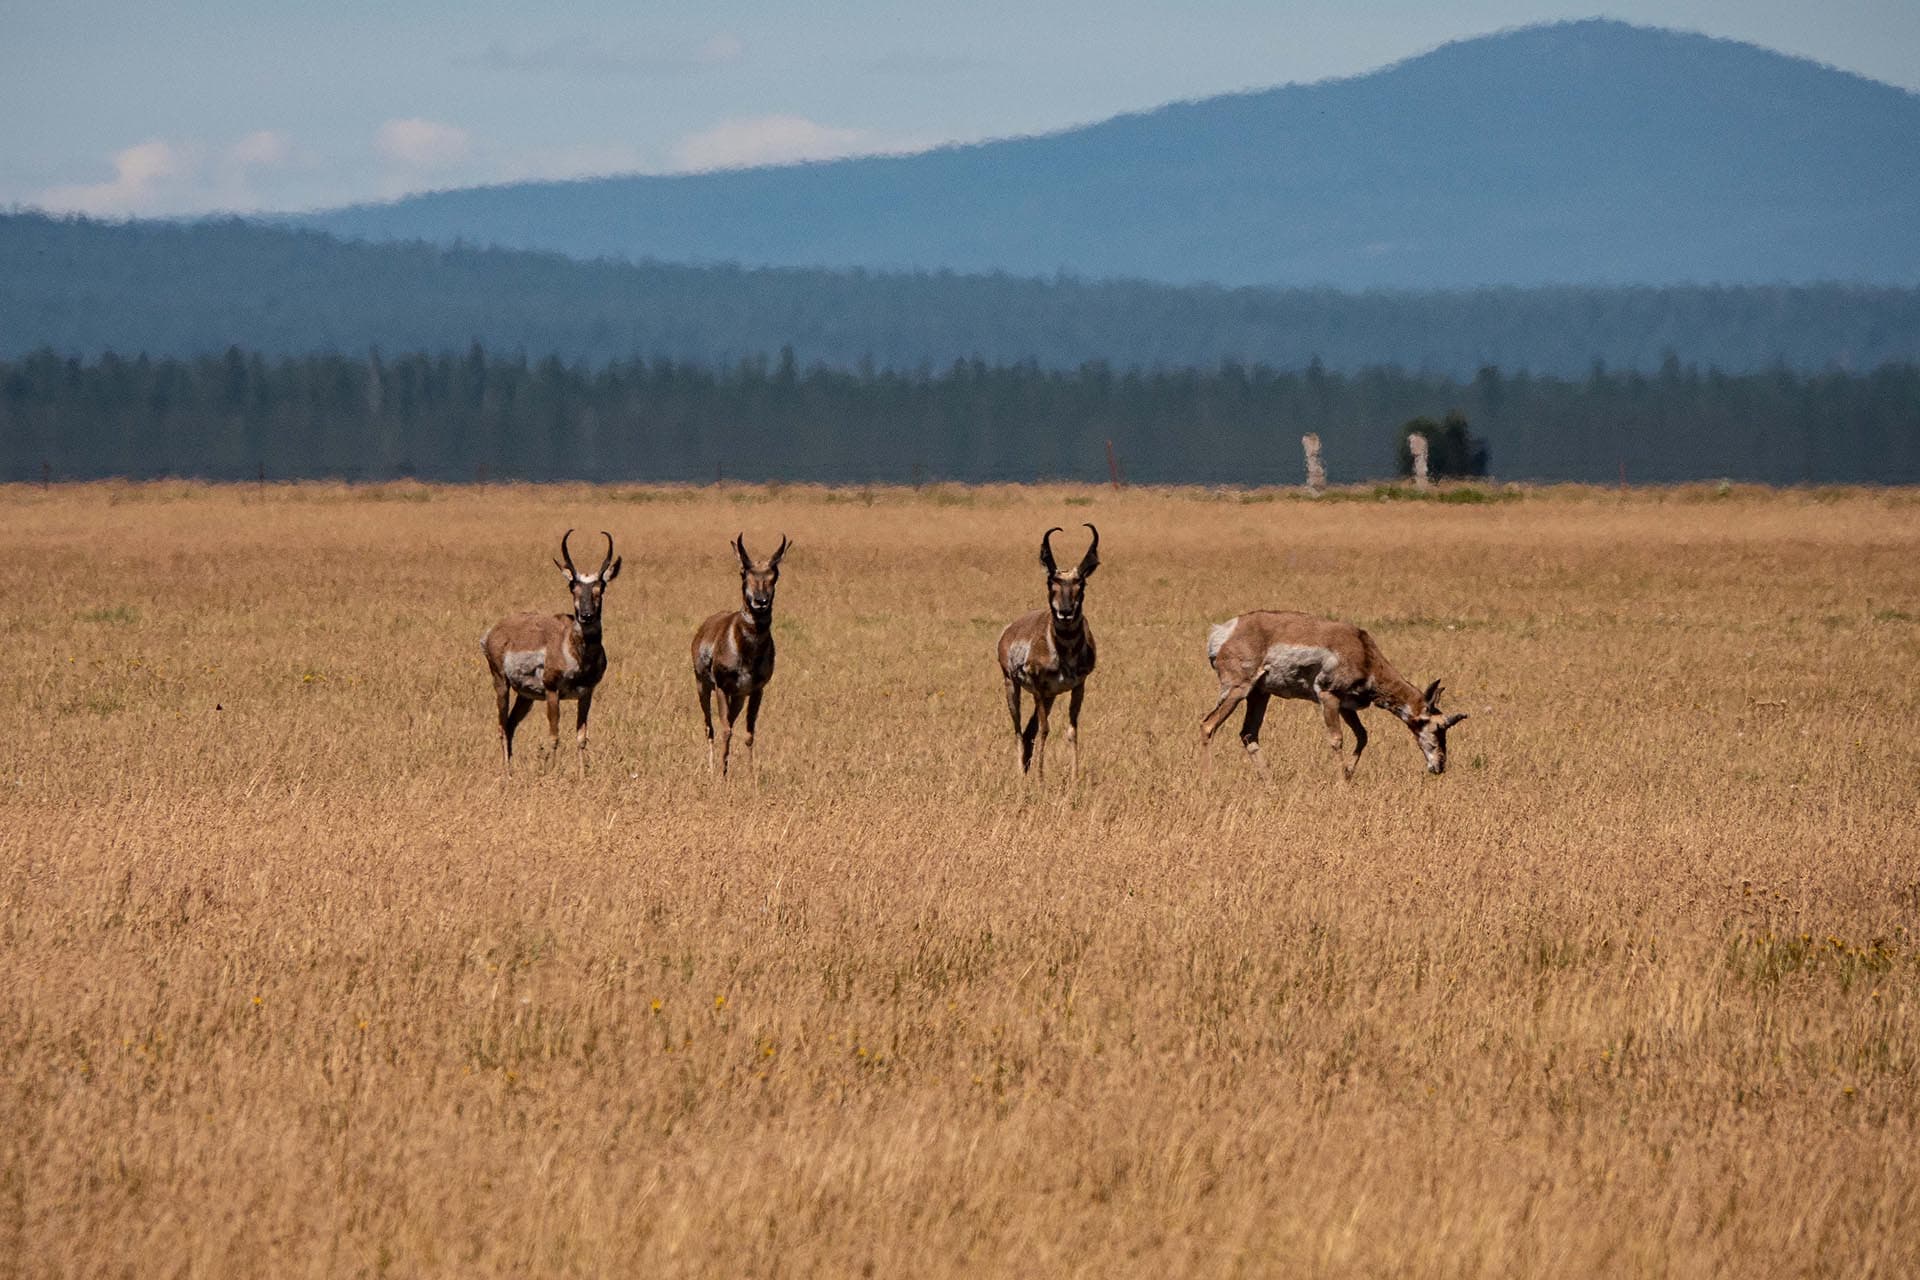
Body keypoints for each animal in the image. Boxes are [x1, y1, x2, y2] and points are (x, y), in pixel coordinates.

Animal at [482, 530, 622, 772]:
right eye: (573, 587)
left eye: (600, 588)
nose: (586, 616)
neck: (575, 652)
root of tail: (495, 630)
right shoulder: (552, 692)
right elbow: (554, 736)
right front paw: (553, 771)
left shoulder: (586, 693)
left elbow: (581, 737)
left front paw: (582, 774)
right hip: (501, 683)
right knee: (501, 727)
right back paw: (506, 771)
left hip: (525, 696)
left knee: (510, 725)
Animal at [692, 532, 789, 777]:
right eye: (744, 571)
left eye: (774, 574)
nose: (760, 601)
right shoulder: (721, 688)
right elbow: (725, 730)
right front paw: (722, 775)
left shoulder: (755, 691)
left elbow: (749, 733)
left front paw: (751, 774)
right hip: (703, 687)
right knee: (709, 727)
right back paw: (711, 768)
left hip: (738, 698)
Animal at [998, 524, 1099, 779]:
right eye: (1050, 581)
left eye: (1081, 583)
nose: (1065, 612)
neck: (1064, 652)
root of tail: (1008, 630)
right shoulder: (1039, 688)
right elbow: (1045, 730)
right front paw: (1041, 779)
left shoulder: (1078, 687)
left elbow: (1071, 730)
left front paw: (1074, 778)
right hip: (1013, 686)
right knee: (1019, 731)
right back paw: (1021, 775)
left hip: (1050, 696)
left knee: (1028, 731)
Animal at [1199, 611, 1467, 779]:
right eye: (1438, 726)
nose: (1440, 766)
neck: (1363, 652)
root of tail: (1225, 631)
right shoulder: (1328, 697)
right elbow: (1337, 739)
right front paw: (1341, 780)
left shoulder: (1347, 705)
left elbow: (1363, 736)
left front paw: (1348, 774)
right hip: (1237, 690)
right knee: (1208, 724)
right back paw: (1209, 781)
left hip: (1259, 694)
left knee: (1248, 734)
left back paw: (1269, 781)